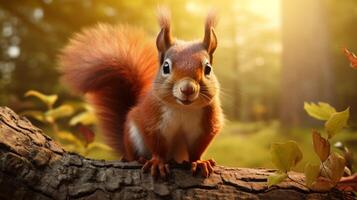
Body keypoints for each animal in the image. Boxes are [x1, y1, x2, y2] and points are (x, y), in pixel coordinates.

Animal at [59, 9, 224, 178]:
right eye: (166, 67)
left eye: (208, 69)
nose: (187, 89)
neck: (182, 108)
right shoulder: (151, 120)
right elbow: (157, 145)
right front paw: (157, 162)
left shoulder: (207, 126)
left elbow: (198, 148)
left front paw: (199, 162)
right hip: (132, 135)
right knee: (133, 154)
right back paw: (137, 158)